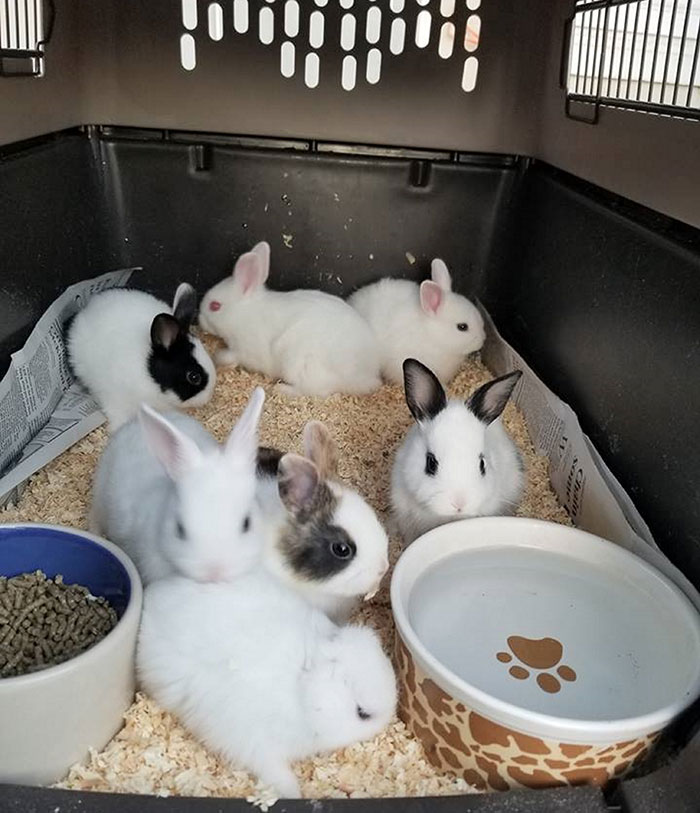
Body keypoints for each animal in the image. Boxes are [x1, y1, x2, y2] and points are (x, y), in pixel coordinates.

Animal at [67, 283, 216, 431]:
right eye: (194, 377)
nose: (208, 397)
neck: (149, 374)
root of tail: (88, 307)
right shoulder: (116, 398)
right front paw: (118, 429)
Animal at [137, 569, 397, 798]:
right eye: (362, 713)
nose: (389, 717)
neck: (303, 690)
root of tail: (150, 599)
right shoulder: (254, 743)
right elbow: (275, 771)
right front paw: (293, 793)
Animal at [198, 241, 382, 397]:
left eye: (215, 306)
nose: (199, 318)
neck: (241, 313)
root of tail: (367, 375)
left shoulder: (245, 350)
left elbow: (231, 356)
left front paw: (218, 357)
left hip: (299, 365)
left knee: (314, 390)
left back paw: (281, 389)